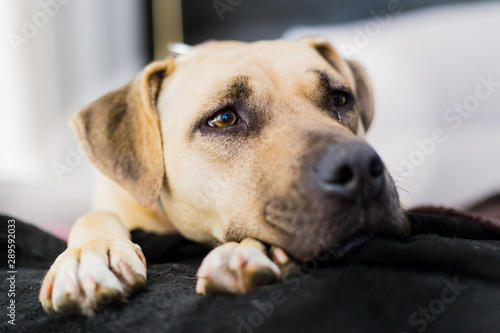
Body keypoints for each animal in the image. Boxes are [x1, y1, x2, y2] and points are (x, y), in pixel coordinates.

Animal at [40, 37, 410, 314]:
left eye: (340, 98)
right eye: (224, 119)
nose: (359, 167)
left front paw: (253, 251)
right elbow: (93, 216)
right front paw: (89, 255)